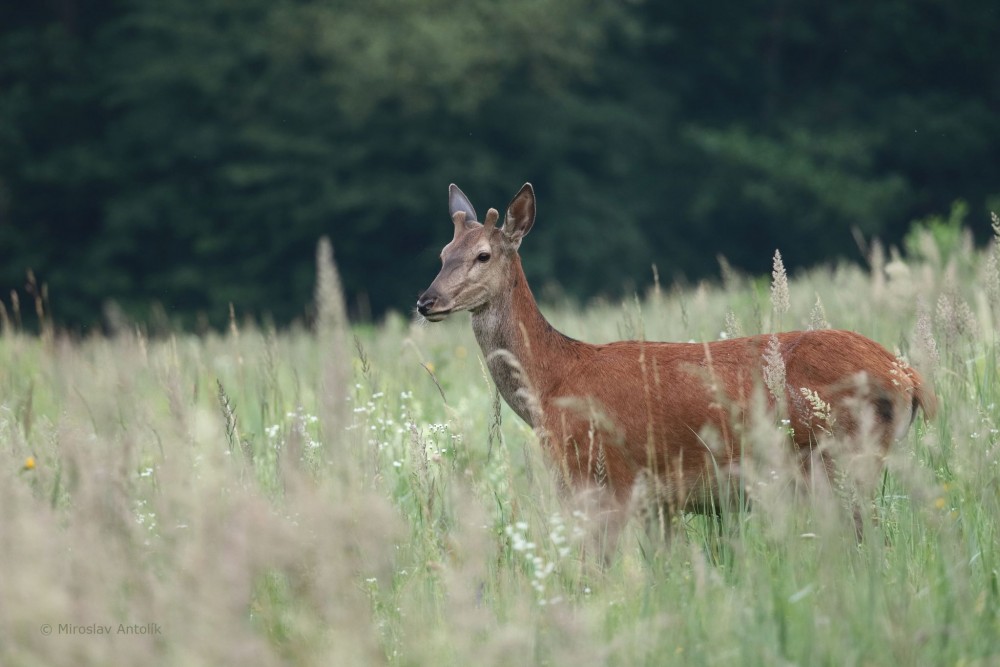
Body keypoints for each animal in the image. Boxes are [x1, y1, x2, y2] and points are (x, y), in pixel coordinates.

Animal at [414, 183, 936, 552]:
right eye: (441, 254)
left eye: (483, 255)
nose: (426, 301)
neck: (552, 386)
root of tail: (909, 379)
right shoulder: (656, 501)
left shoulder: (607, 478)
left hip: (842, 458)